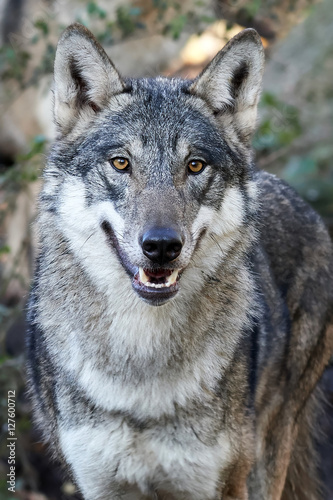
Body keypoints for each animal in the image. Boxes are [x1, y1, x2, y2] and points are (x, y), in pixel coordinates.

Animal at [26, 21, 332, 498]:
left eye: (194, 166)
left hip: (268, 460)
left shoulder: (219, 484)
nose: (161, 245)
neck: (141, 371)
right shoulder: (99, 484)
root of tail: (303, 202)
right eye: (121, 163)